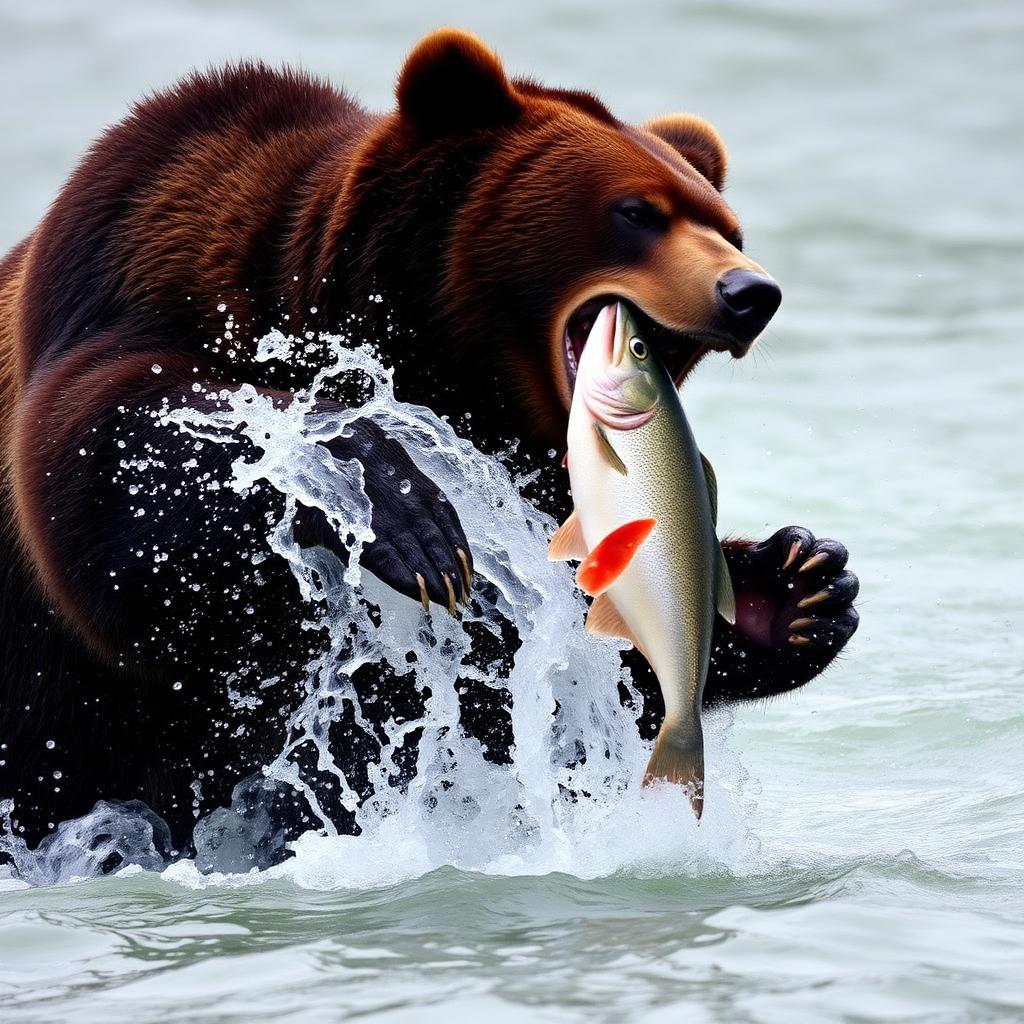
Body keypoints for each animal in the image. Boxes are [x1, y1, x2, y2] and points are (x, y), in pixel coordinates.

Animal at [0, 29, 858, 854]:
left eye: (725, 225)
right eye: (637, 211)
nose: (751, 292)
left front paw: (799, 583)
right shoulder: (136, 267)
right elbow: (116, 471)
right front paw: (408, 518)